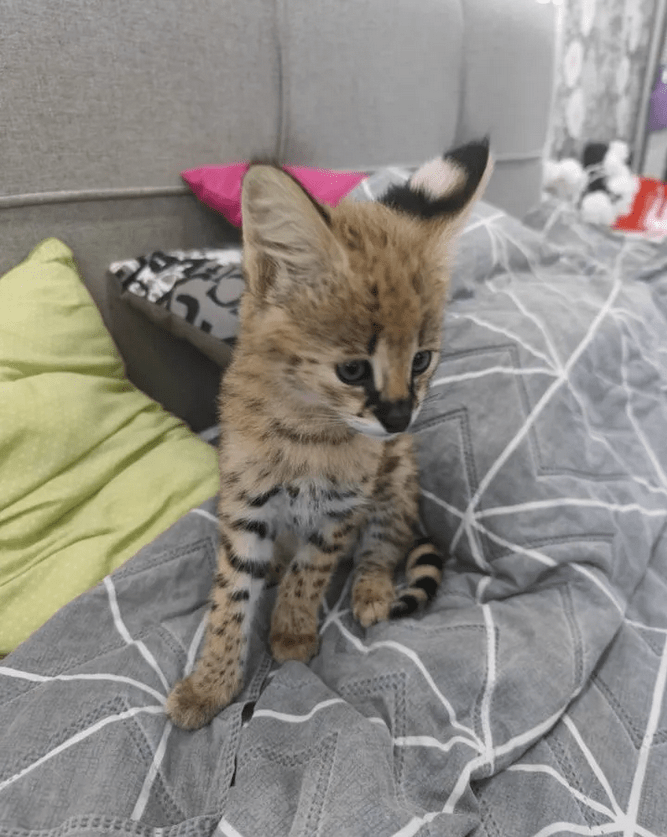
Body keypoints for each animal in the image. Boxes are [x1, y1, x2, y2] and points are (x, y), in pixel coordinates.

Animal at [166, 140, 490, 728]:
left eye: (422, 360)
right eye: (353, 370)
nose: (400, 418)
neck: (308, 427)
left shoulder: (343, 508)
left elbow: (312, 570)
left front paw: (291, 632)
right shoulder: (244, 504)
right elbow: (230, 594)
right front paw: (211, 684)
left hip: (396, 481)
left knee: (386, 544)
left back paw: (372, 590)